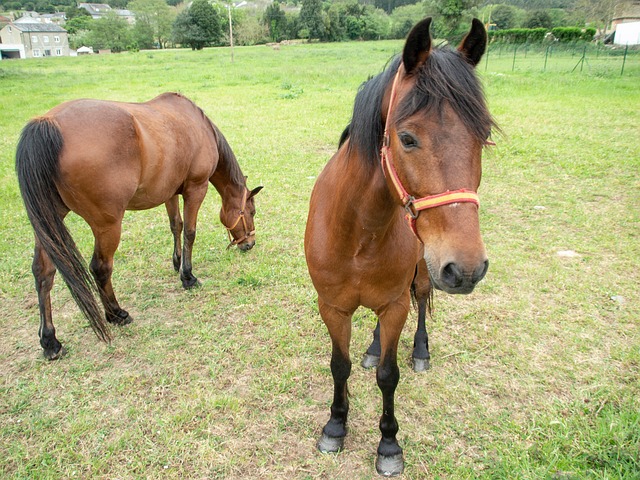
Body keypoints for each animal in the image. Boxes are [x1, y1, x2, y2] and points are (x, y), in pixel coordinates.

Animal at [16, 92, 262, 360]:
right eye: (251, 211)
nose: (250, 243)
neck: (199, 125)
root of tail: (48, 123)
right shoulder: (196, 189)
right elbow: (190, 232)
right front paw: (188, 276)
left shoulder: (170, 192)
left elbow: (176, 225)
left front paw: (177, 262)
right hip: (107, 225)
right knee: (100, 268)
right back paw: (115, 313)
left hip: (48, 224)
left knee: (43, 274)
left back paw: (50, 340)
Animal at [304, 18, 496, 476]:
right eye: (407, 138)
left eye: (482, 136)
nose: (467, 267)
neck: (358, 232)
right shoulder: (332, 307)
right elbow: (340, 365)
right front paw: (335, 426)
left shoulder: (395, 305)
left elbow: (389, 376)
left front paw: (388, 444)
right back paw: (373, 347)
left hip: (425, 273)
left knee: (421, 300)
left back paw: (420, 350)